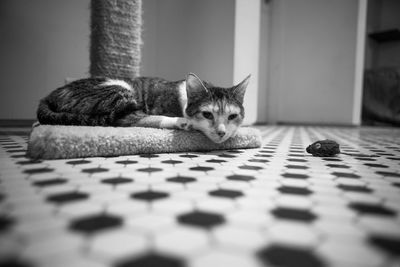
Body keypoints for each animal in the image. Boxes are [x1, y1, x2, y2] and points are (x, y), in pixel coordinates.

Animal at [37, 73, 250, 144]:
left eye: (232, 116)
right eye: (207, 114)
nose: (221, 132)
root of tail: (48, 96)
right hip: (118, 91)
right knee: (129, 119)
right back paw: (182, 122)